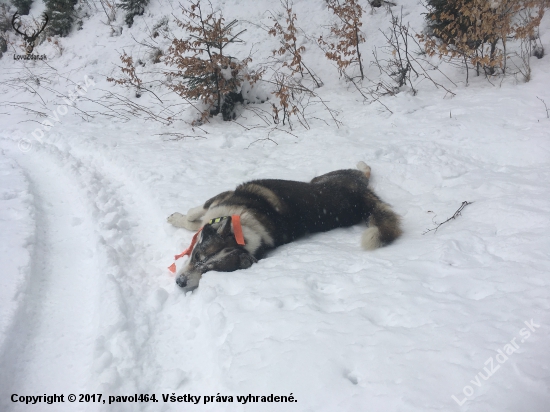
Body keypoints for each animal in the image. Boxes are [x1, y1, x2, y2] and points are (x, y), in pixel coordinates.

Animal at [166, 163, 404, 292]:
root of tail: (361, 197)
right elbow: (194, 214)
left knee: (364, 171)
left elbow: (193, 219)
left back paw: (362, 164)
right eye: (197, 256)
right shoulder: (217, 201)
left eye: (210, 271)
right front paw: (178, 218)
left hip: (326, 177)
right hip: (322, 179)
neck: (243, 228)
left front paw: (180, 220)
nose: (180, 282)